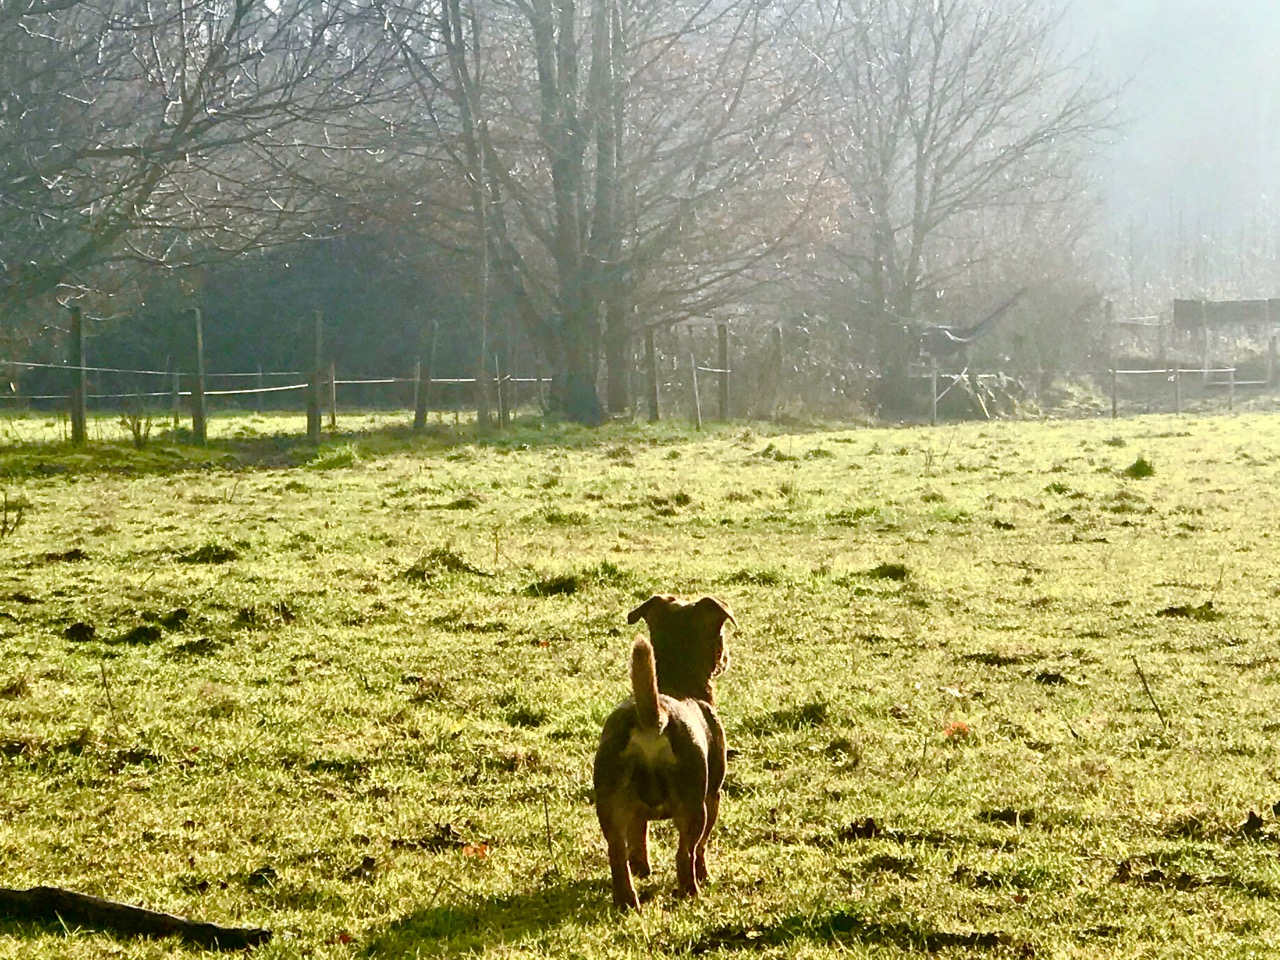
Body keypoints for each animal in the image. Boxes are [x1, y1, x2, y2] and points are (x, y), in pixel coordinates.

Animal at [593, 599, 737, 911]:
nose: (726, 658)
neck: (674, 682)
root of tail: (652, 717)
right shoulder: (713, 797)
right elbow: (701, 848)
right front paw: (704, 874)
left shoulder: (635, 813)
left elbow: (639, 837)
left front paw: (642, 869)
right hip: (695, 806)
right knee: (685, 853)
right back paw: (690, 892)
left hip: (610, 806)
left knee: (616, 854)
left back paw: (626, 899)